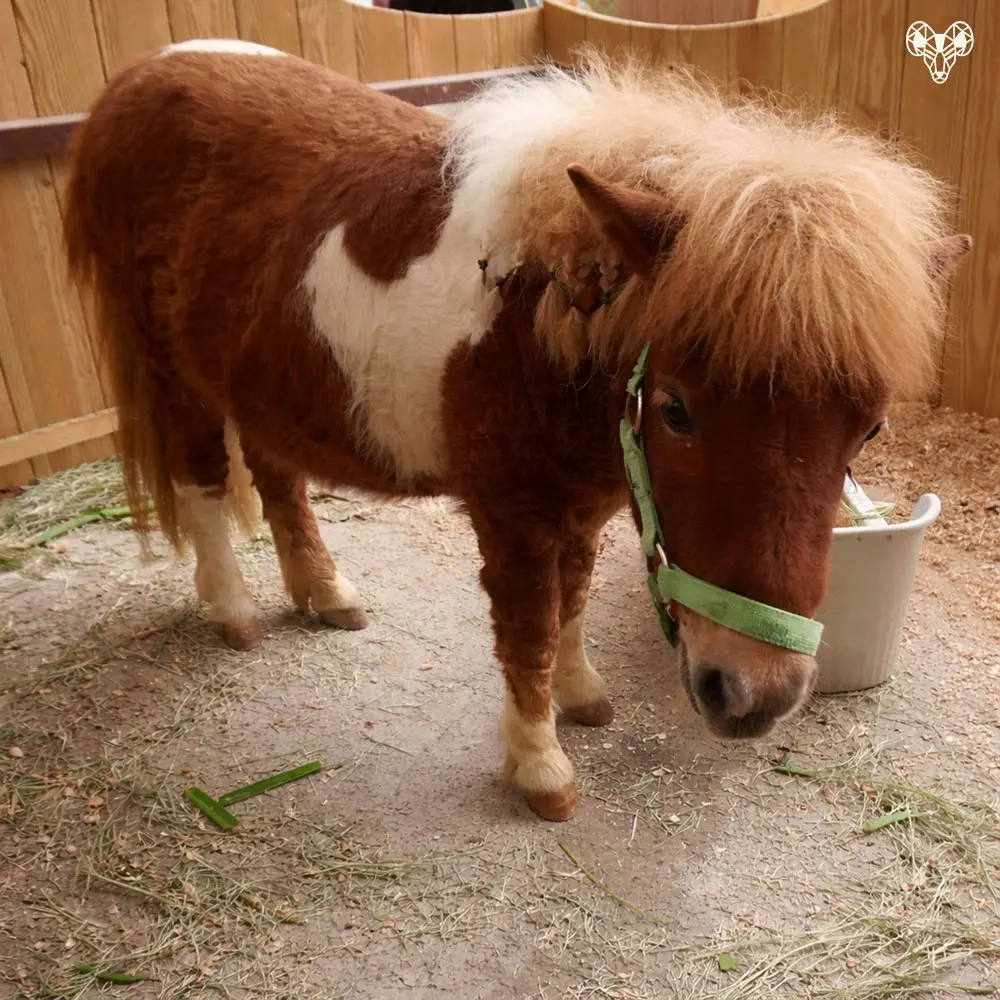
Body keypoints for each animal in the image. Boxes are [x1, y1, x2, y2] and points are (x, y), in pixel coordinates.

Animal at [64, 41, 970, 822]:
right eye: (676, 408)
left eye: (870, 431)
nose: (756, 695)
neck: (543, 312)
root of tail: (137, 80)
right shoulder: (515, 517)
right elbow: (529, 627)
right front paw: (540, 768)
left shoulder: (581, 509)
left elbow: (571, 603)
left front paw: (581, 697)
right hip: (175, 375)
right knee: (204, 481)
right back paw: (233, 612)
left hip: (261, 383)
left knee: (280, 480)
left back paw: (325, 594)